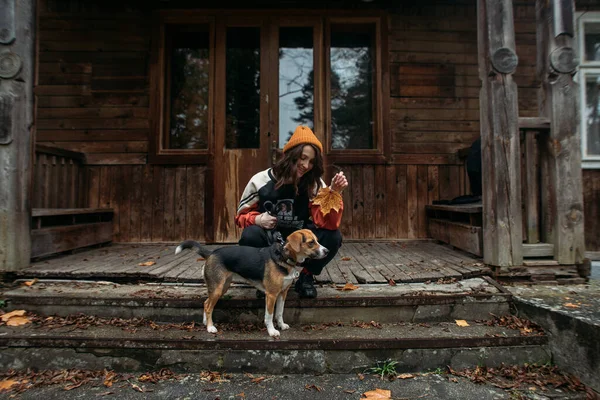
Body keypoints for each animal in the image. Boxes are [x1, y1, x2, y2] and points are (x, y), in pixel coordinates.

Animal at [175, 228, 328, 338]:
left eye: (317, 240)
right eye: (311, 242)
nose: (327, 251)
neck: (284, 256)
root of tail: (212, 253)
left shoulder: (282, 293)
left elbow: (279, 312)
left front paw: (281, 325)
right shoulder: (271, 295)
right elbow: (269, 315)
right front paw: (272, 331)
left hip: (223, 287)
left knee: (206, 303)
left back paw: (206, 322)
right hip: (218, 288)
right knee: (208, 306)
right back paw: (210, 327)